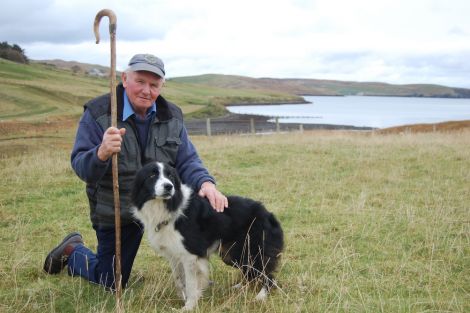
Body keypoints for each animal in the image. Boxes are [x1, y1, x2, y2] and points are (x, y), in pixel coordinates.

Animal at [130, 162, 282, 308]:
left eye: (171, 176)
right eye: (152, 176)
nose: (169, 186)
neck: (168, 206)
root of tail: (268, 214)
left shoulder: (191, 255)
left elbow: (191, 284)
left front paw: (189, 306)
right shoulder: (173, 254)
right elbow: (179, 280)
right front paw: (183, 298)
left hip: (251, 251)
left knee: (267, 275)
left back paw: (261, 296)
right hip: (233, 253)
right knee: (251, 272)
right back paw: (240, 287)